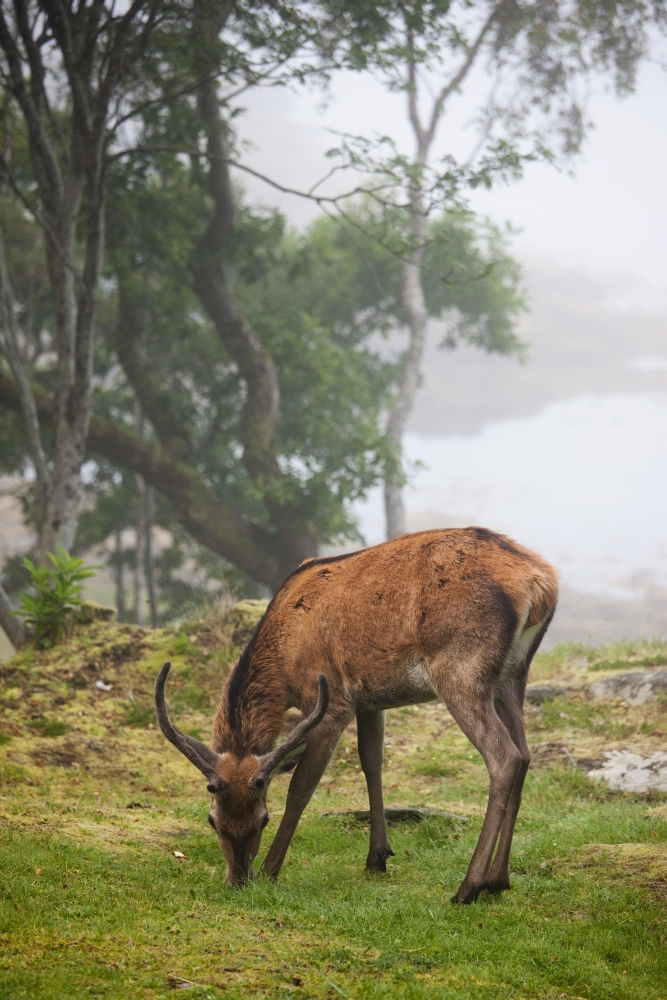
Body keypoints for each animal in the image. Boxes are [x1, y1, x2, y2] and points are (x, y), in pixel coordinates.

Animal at [155, 527, 558, 903]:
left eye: (263, 818)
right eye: (212, 819)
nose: (237, 880)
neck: (285, 662)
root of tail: (543, 583)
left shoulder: (330, 703)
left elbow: (300, 789)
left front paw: (270, 871)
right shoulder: (369, 700)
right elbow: (372, 762)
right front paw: (377, 856)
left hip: (461, 668)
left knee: (504, 756)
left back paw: (468, 887)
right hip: (513, 674)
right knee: (525, 754)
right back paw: (498, 880)